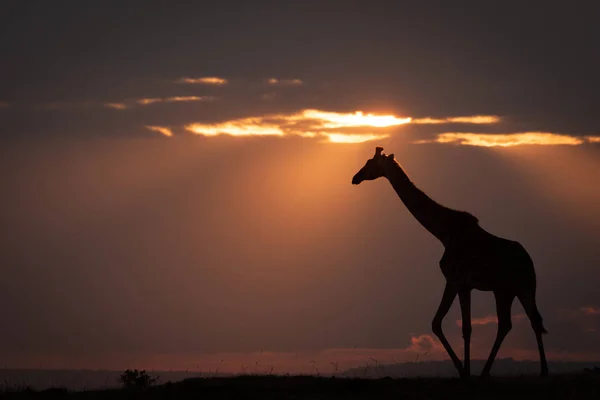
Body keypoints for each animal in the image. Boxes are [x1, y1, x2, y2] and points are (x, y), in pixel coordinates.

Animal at [352, 146, 548, 378]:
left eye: (370, 163)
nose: (355, 178)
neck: (443, 232)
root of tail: (528, 261)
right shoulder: (462, 284)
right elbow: (445, 324)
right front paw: (465, 370)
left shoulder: (457, 281)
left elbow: (458, 327)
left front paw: (465, 371)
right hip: (519, 289)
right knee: (528, 321)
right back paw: (539, 371)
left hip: (508, 289)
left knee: (512, 323)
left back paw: (491, 372)